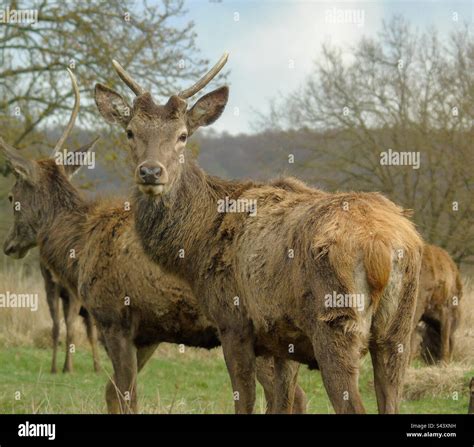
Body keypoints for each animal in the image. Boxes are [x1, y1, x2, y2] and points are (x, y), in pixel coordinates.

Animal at [0, 68, 308, 414]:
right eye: (131, 133)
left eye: (11, 196)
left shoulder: (113, 316)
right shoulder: (148, 333)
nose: (9, 245)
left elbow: (126, 394)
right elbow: (113, 392)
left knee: (291, 394)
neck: (79, 248)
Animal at [94, 54, 424, 414]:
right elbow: (281, 401)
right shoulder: (281, 338)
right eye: (130, 131)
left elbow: (247, 399)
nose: (151, 171)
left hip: (336, 322)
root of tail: (385, 246)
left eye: (182, 135)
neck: (195, 248)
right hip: (399, 331)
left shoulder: (233, 320)